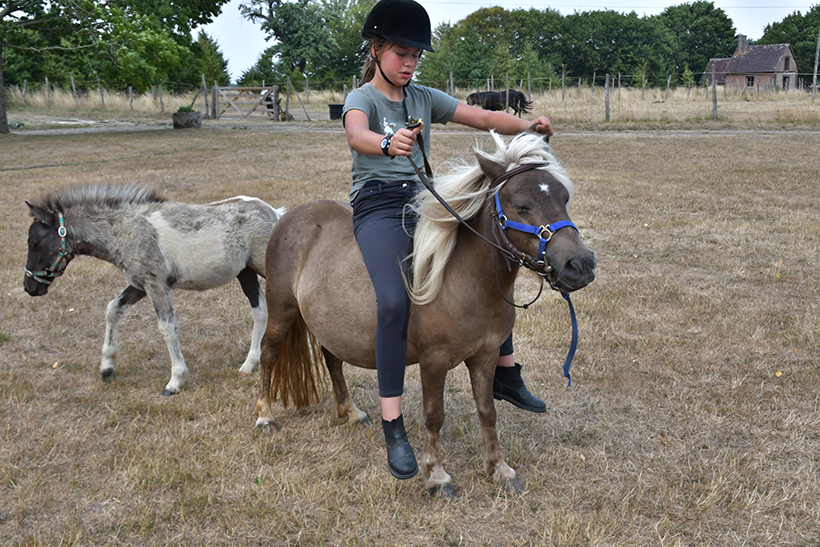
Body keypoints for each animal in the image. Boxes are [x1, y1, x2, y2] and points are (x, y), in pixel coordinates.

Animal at [256, 131, 596, 498]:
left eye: (564, 198)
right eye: (521, 204)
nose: (580, 264)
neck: (462, 278)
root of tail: (289, 216)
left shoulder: (485, 355)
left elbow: (488, 411)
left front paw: (498, 468)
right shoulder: (434, 360)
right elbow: (434, 415)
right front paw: (435, 475)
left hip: (330, 322)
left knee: (332, 359)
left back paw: (350, 411)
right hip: (281, 311)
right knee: (269, 354)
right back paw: (265, 415)